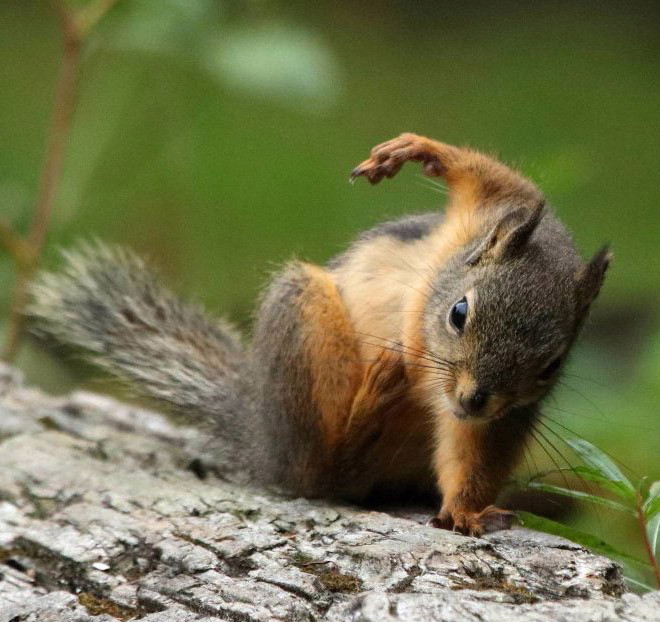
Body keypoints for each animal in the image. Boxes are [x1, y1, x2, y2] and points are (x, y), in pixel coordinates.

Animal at [29, 134, 608, 540]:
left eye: (552, 366)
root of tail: (264, 438)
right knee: (323, 469)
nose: (473, 399)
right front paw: (414, 149)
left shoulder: (497, 420)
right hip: (303, 314)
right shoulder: (499, 205)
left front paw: (467, 511)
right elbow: (494, 177)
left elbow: (473, 454)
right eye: (459, 312)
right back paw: (369, 401)